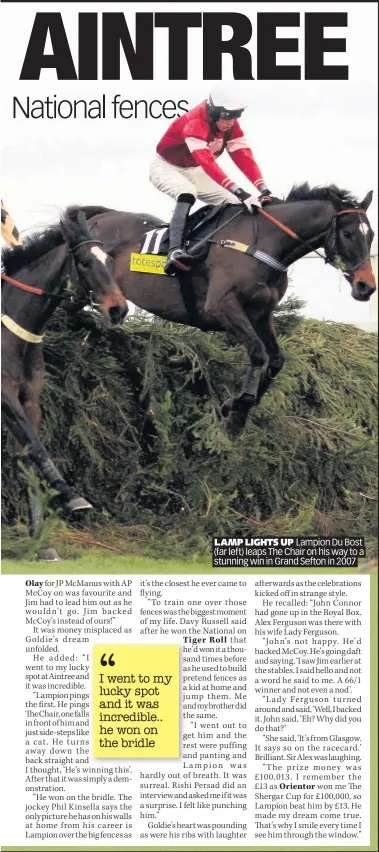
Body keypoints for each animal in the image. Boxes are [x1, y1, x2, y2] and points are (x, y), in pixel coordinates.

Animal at [0, 208, 128, 560]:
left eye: (108, 260)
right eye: (84, 262)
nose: (119, 309)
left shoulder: (29, 402)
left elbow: (29, 460)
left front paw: (41, 543)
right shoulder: (6, 396)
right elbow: (38, 448)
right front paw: (73, 497)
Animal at [78, 180, 378, 432]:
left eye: (371, 235)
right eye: (348, 233)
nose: (366, 286)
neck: (263, 243)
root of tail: (96, 217)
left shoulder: (261, 313)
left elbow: (276, 359)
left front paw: (238, 406)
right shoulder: (222, 307)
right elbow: (257, 352)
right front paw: (238, 409)